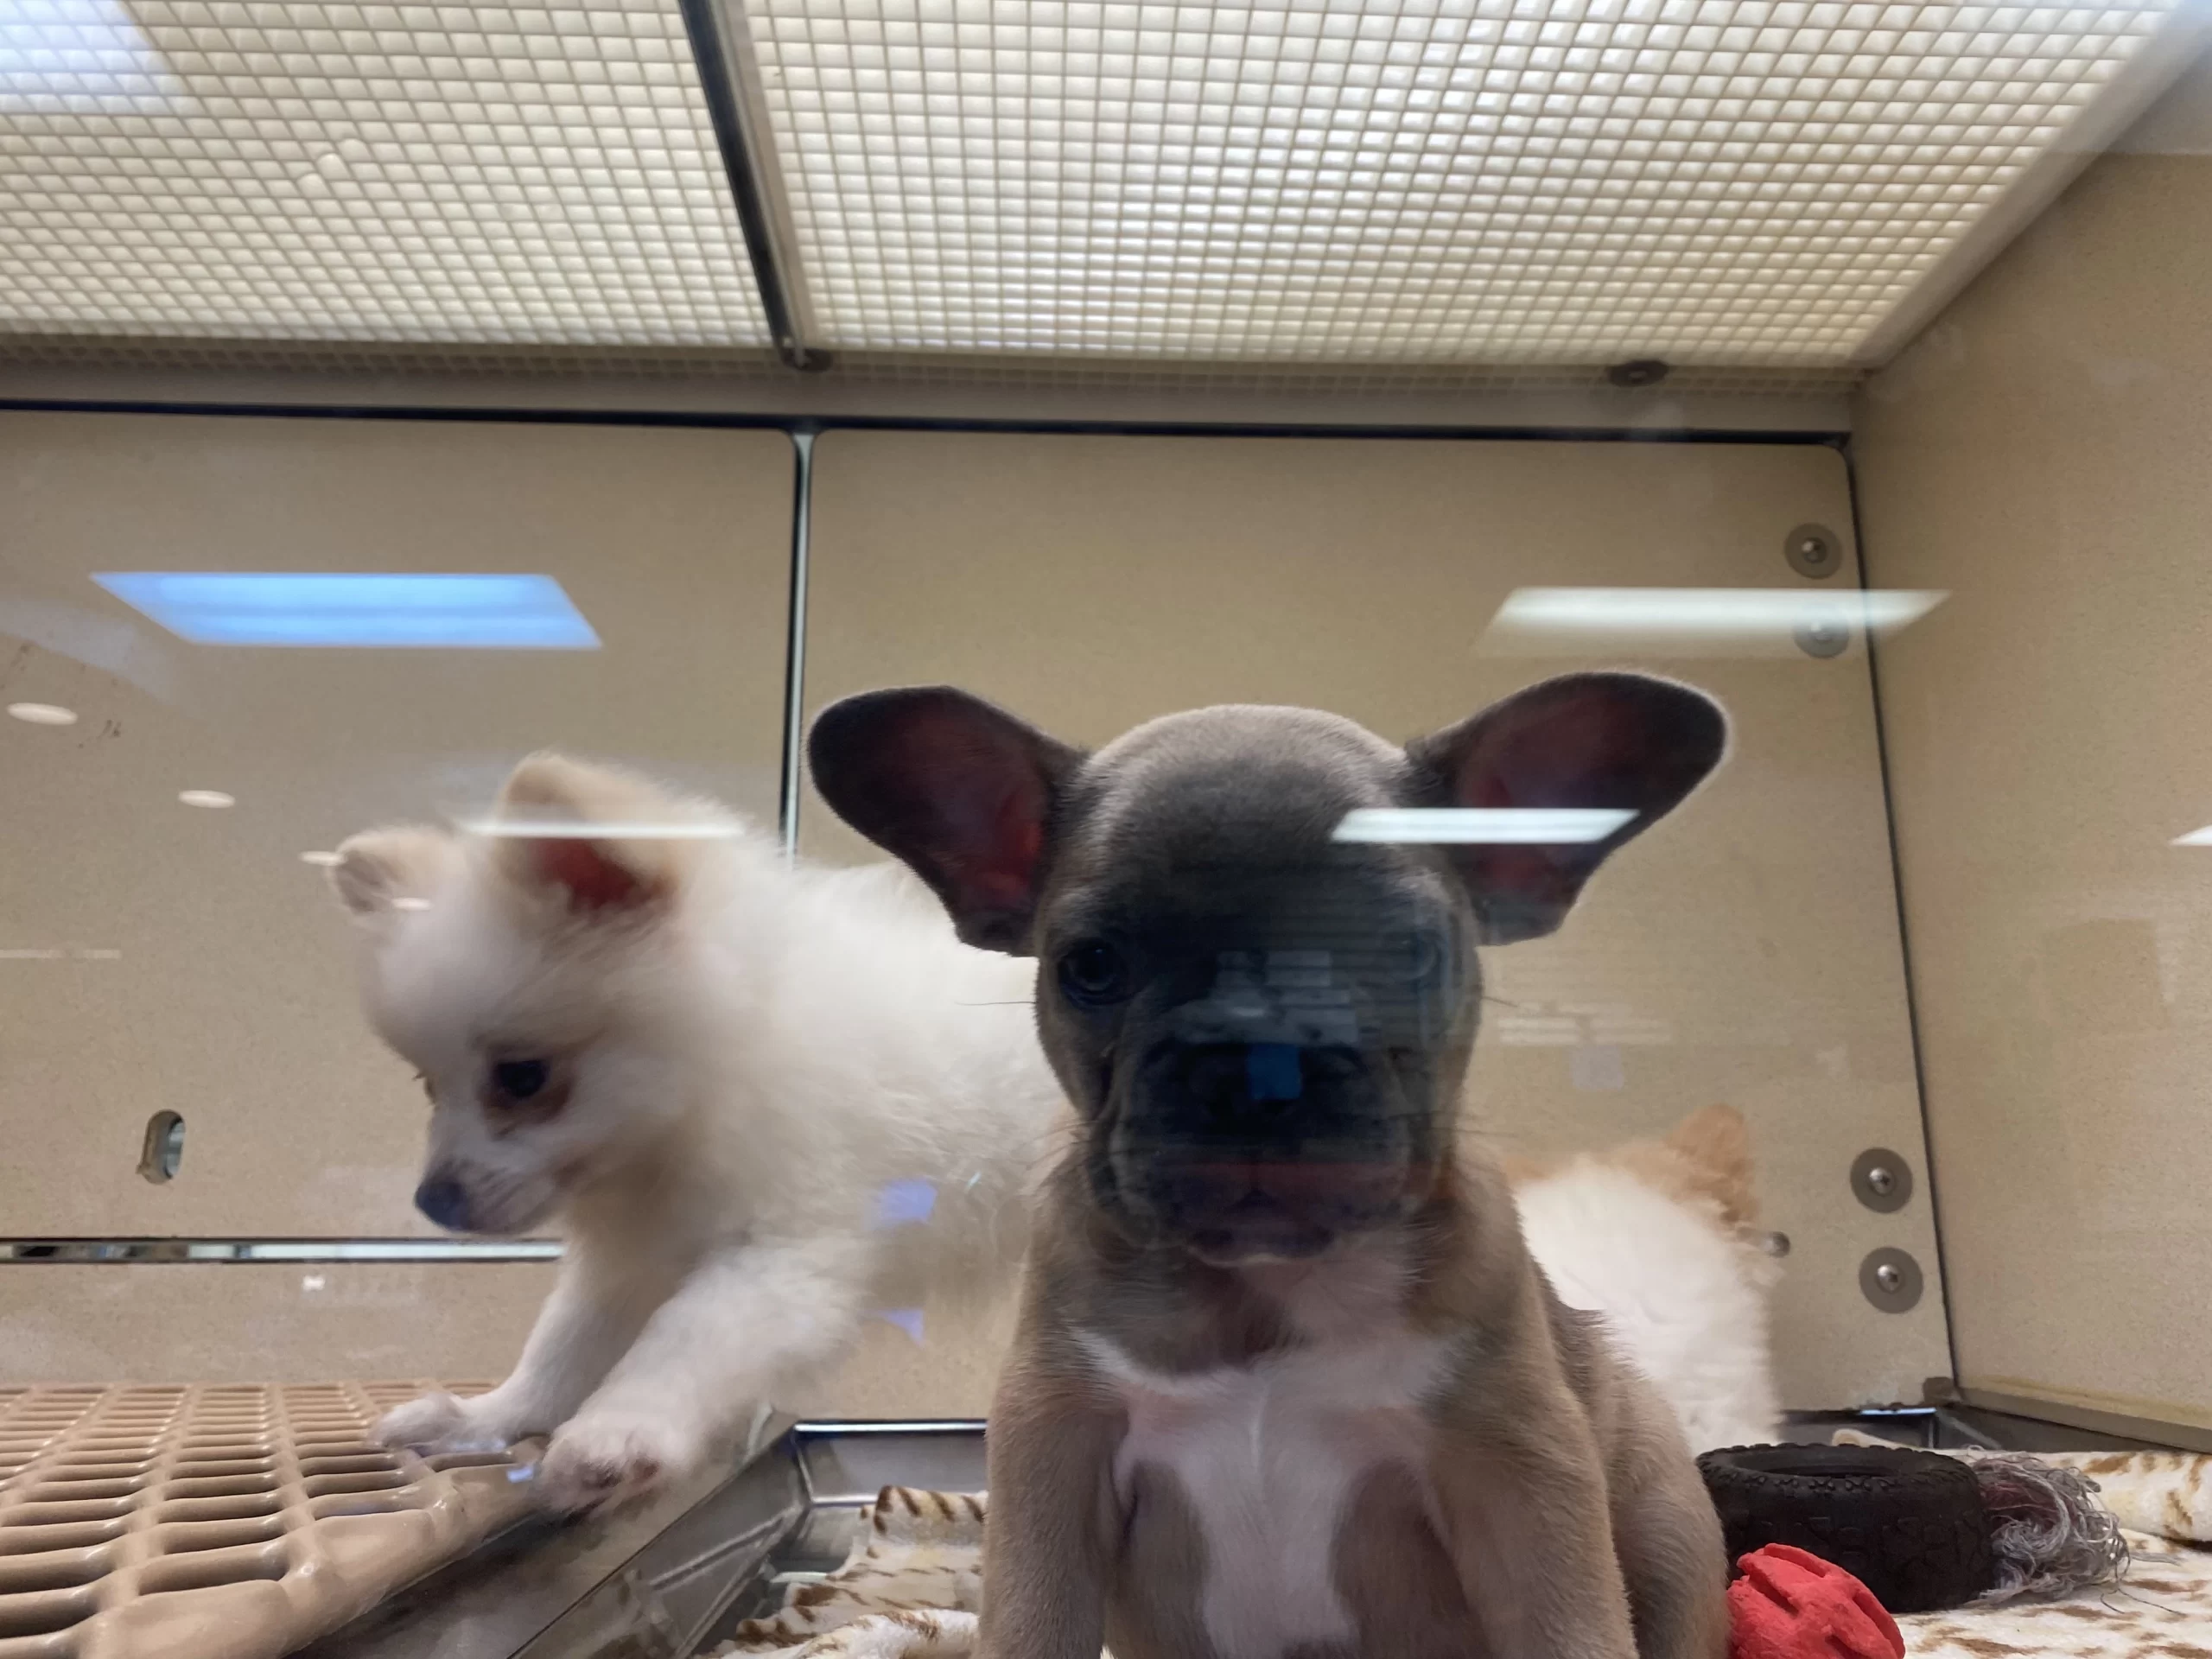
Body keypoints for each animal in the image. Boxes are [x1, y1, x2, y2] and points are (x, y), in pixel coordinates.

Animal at [327, 760, 1778, 1513]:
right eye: (424, 1084)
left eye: (524, 1078)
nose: (436, 1200)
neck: (724, 1061)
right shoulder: (626, 1249)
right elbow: (559, 1348)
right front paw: (491, 1422)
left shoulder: (783, 1257)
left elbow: (681, 1348)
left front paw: (618, 1437)